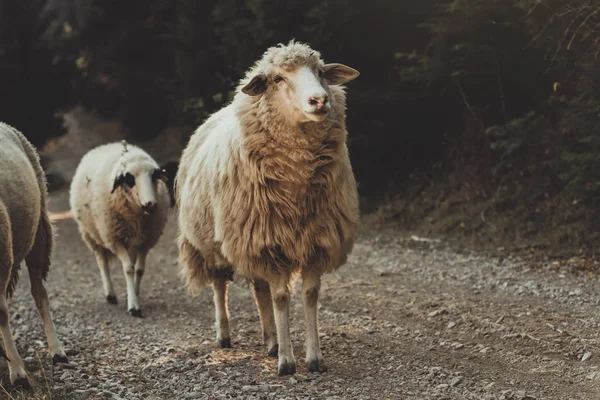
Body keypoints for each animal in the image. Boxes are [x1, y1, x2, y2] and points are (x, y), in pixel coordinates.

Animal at [69, 140, 170, 316]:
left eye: (154, 176)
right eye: (129, 179)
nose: (150, 204)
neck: (138, 217)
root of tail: (105, 145)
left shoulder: (145, 241)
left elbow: (139, 269)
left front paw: (134, 294)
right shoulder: (115, 240)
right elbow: (128, 269)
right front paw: (133, 306)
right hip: (92, 235)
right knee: (103, 263)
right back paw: (110, 294)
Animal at [176, 39, 358, 376]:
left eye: (320, 71)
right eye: (277, 78)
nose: (320, 100)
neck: (297, 183)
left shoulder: (314, 240)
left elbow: (308, 296)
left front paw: (313, 357)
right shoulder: (271, 244)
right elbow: (282, 297)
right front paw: (287, 361)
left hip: (252, 240)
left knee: (260, 291)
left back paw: (271, 341)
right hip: (215, 243)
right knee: (219, 286)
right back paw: (225, 335)